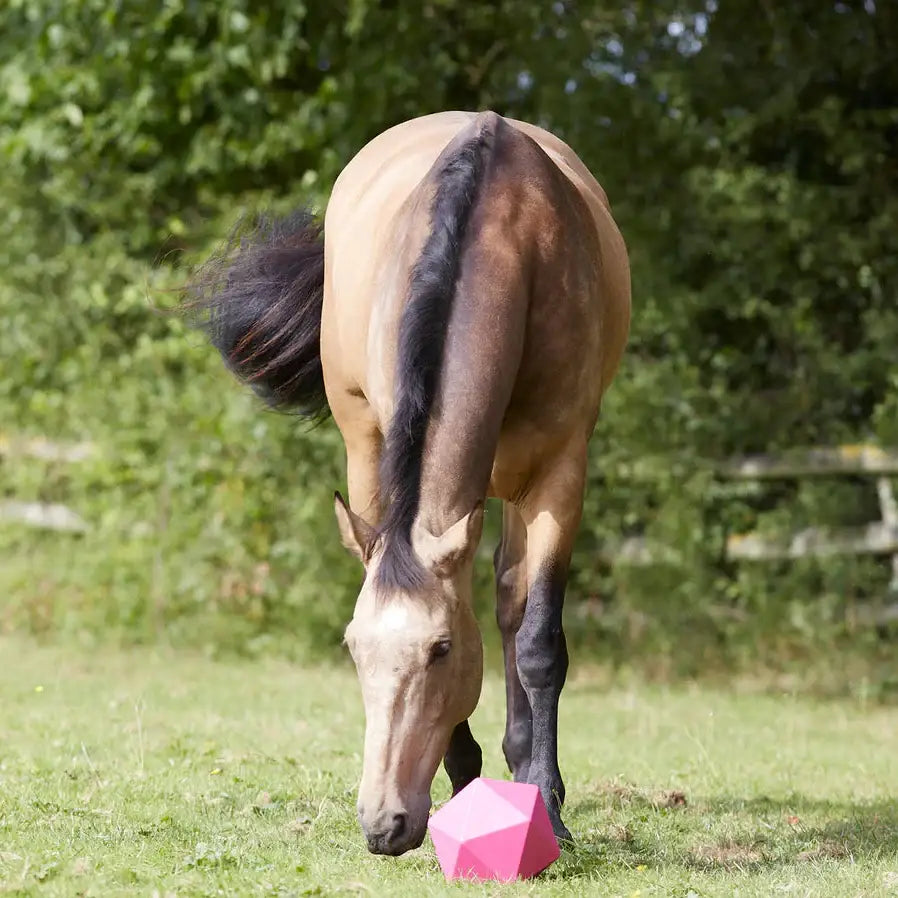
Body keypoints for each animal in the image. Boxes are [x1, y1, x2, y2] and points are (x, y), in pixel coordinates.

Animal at [185, 110, 630, 856]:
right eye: (353, 649)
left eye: (441, 649)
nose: (382, 823)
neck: (511, 240)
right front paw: (468, 781)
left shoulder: (560, 473)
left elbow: (537, 642)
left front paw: (545, 805)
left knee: (510, 601)